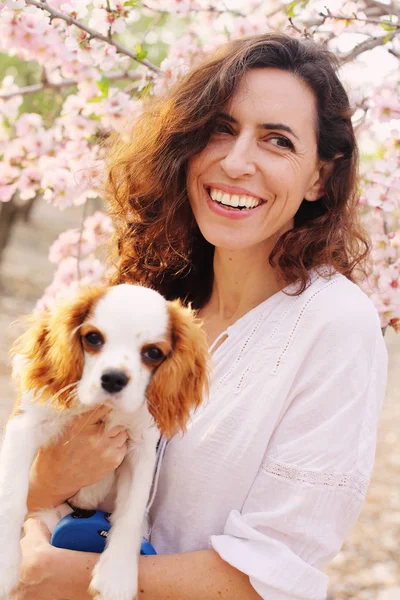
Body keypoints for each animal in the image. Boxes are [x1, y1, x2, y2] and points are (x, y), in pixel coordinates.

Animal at [0, 284, 211, 600]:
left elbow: (131, 513)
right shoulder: (25, 425)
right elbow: (11, 498)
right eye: (93, 338)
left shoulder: (140, 450)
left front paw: (117, 576)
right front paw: (5, 564)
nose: (113, 379)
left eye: (153, 352)